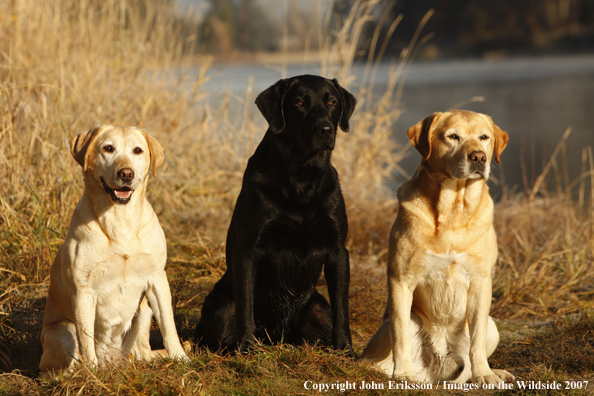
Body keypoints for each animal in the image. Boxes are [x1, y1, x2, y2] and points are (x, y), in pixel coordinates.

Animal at [194, 73, 354, 352]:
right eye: (300, 102)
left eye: (332, 102)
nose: (325, 129)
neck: (301, 178)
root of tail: (278, 336)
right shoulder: (248, 250)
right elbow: (246, 306)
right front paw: (247, 348)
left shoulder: (338, 250)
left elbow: (342, 309)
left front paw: (346, 350)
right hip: (219, 305)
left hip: (318, 308)